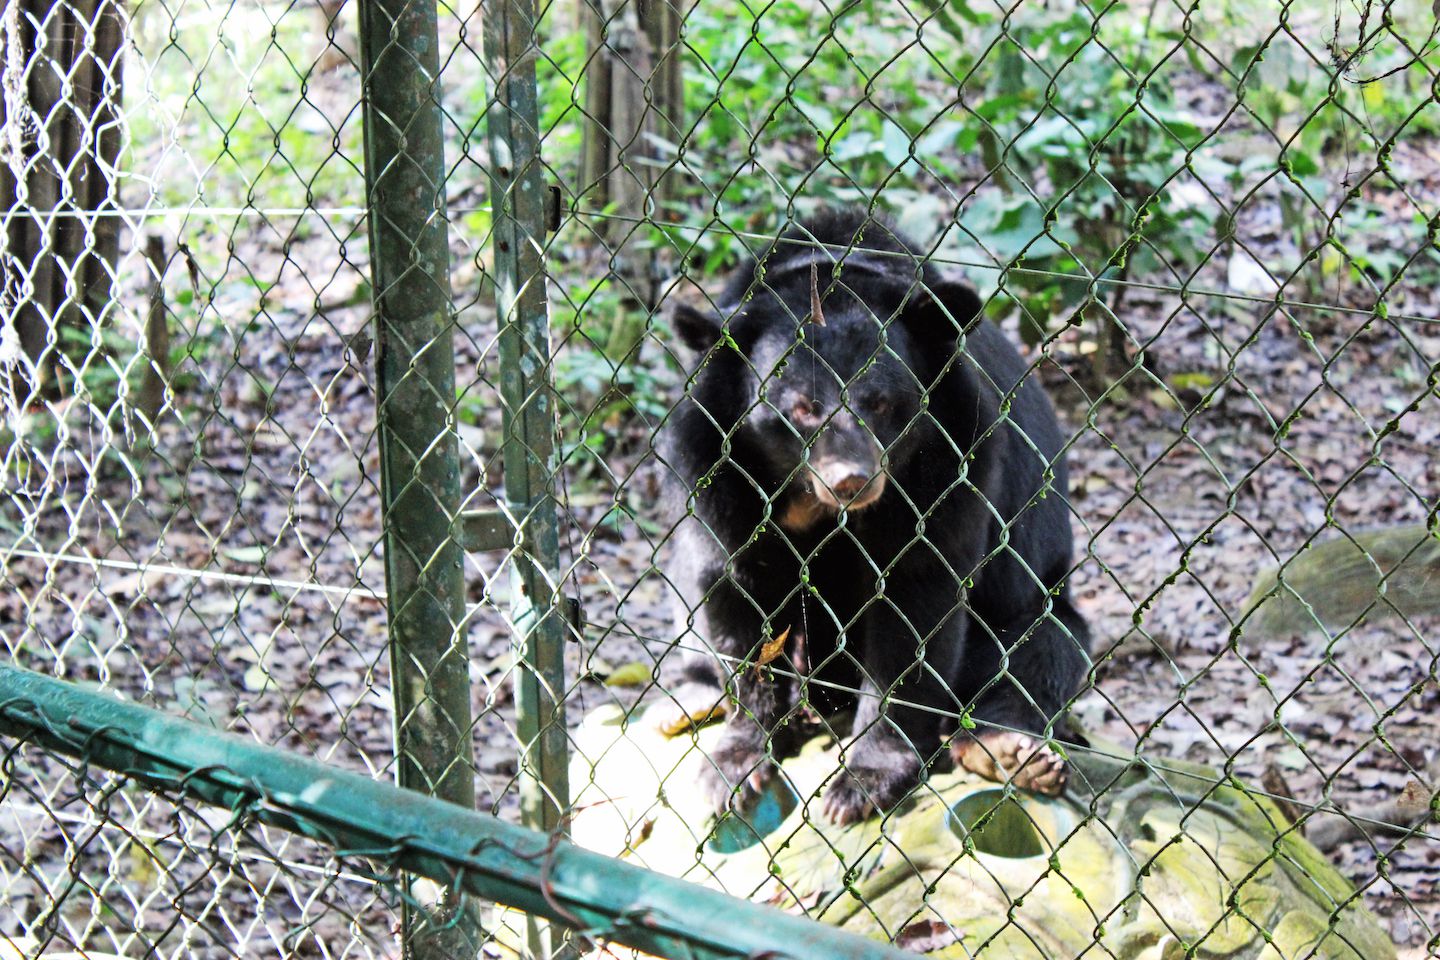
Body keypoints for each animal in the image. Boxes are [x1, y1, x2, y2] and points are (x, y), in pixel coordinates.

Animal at [658, 209, 1091, 825]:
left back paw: (1007, 751)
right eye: (800, 408)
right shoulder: (715, 462)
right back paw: (692, 703)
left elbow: (916, 597)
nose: (852, 479)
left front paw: (859, 785)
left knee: (1039, 652)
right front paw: (735, 768)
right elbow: (734, 590)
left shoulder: (951, 459)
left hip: (1038, 607)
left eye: (882, 402)